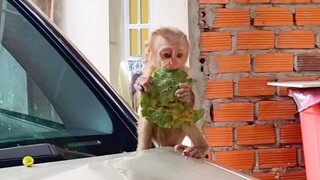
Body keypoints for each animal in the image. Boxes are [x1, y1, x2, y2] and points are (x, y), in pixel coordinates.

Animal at [134, 26, 209, 158]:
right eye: (167, 55)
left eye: (179, 55)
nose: (173, 62)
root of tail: (166, 145)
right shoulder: (149, 69)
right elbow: (143, 102)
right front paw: (141, 83)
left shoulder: (188, 73)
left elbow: (192, 106)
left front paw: (186, 95)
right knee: (147, 115)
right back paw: (142, 150)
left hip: (176, 136)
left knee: (184, 115)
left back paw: (200, 148)